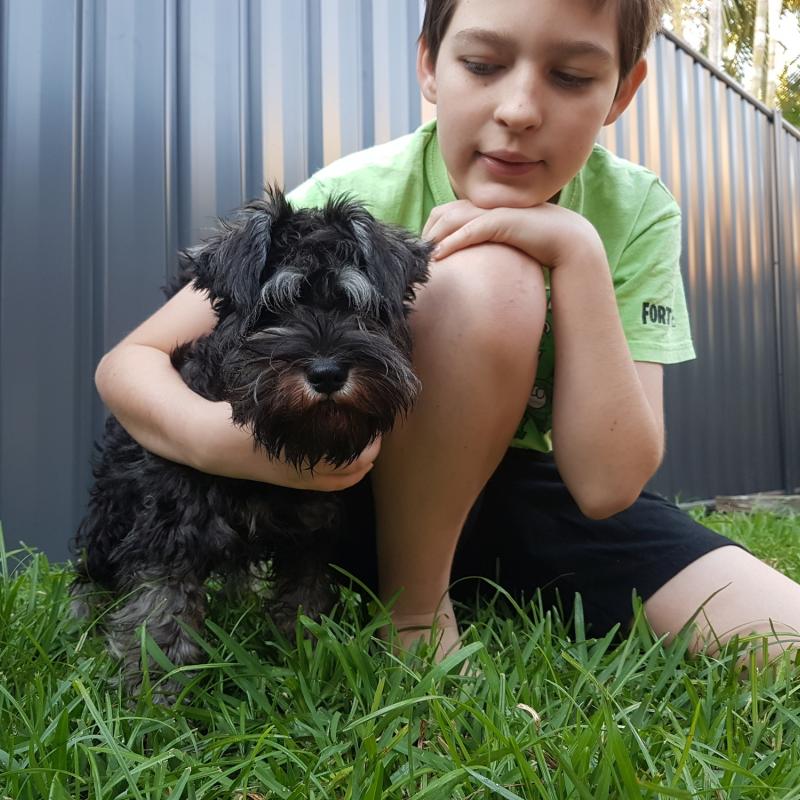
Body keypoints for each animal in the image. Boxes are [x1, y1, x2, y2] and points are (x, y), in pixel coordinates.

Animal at [72, 188, 434, 688]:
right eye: (274, 309)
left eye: (357, 307)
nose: (327, 373)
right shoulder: (170, 527)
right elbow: (161, 609)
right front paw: (156, 691)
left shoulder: (313, 537)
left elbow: (304, 599)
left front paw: (306, 660)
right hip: (111, 510)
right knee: (91, 565)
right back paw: (80, 618)